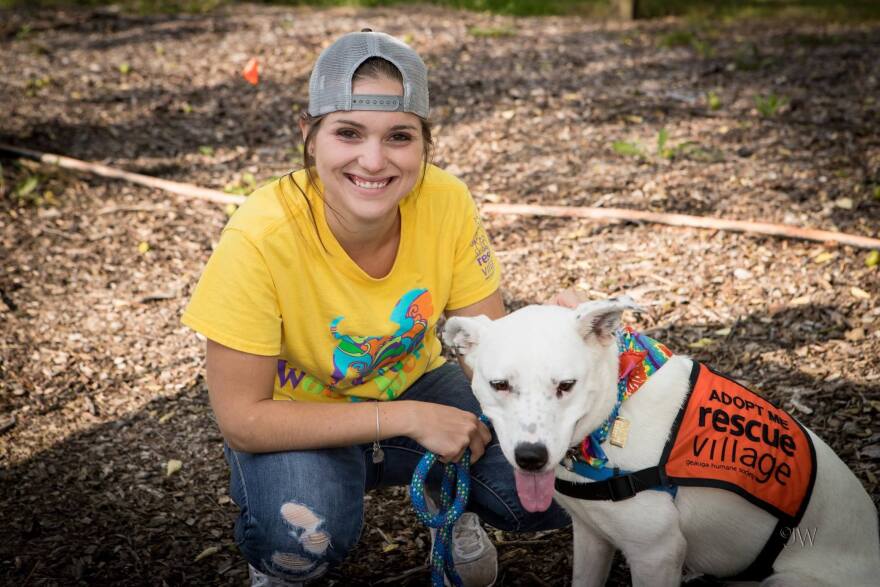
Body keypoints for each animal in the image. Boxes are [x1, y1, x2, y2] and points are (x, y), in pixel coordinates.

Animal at [446, 298, 880, 587]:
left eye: (566, 385)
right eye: (500, 384)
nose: (531, 458)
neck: (617, 406)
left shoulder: (656, 553)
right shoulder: (591, 535)